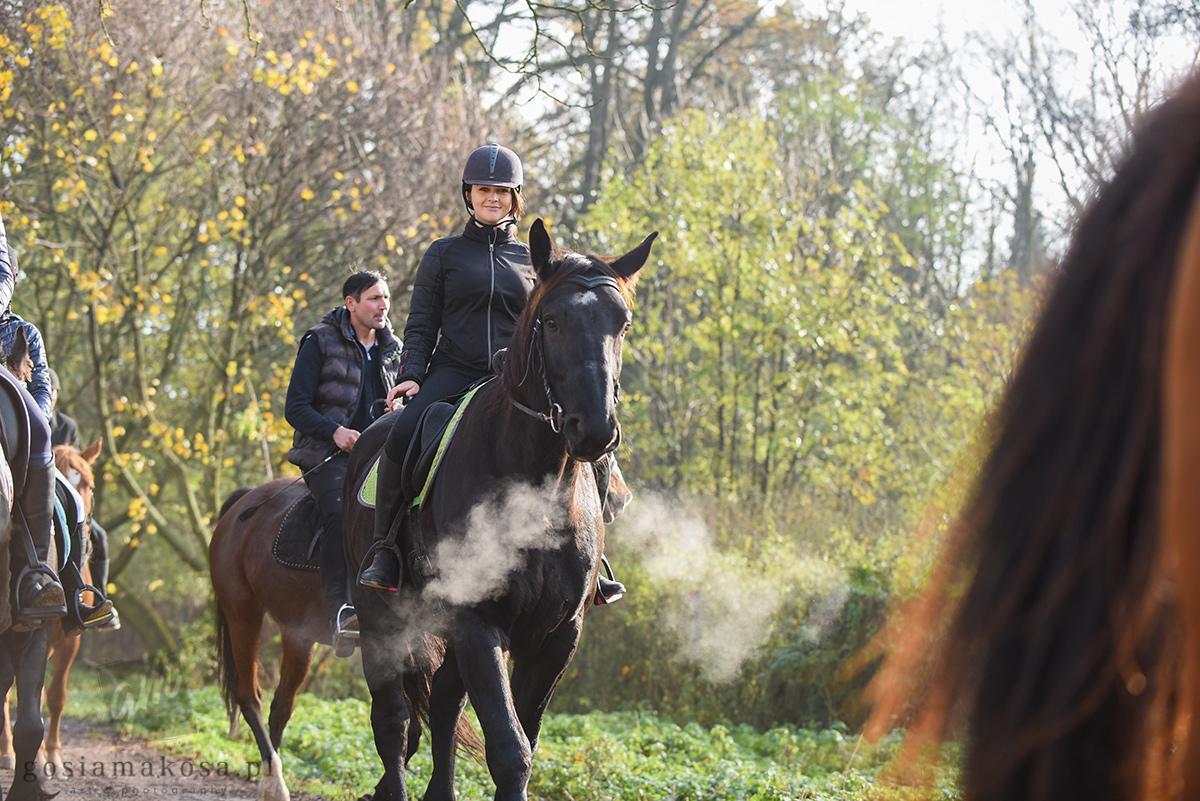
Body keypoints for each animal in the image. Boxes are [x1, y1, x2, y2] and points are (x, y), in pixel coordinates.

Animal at [343, 219, 652, 801]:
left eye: (621, 324)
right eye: (552, 321)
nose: (594, 430)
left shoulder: (555, 635)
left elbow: (522, 736)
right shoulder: (477, 621)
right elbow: (510, 750)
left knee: (441, 702)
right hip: (380, 616)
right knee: (393, 719)